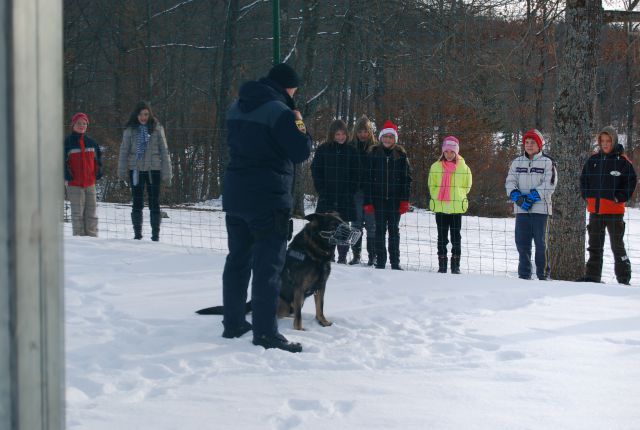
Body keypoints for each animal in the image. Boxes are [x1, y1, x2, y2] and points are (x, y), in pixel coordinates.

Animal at [196, 213, 360, 330]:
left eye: (343, 221)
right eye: (333, 224)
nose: (355, 233)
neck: (315, 253)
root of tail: (250, 302)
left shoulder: (321, 286)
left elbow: (320, 307)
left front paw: (323, 322)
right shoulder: (299, 288)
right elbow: (299, 316)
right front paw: (299, 329)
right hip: (284, 303)